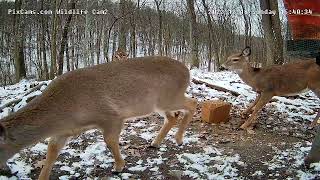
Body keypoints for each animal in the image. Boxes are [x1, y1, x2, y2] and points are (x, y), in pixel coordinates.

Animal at [0, 56, 198, 180]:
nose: (5, 170)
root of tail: (187, 70)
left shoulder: (111, 115)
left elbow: (109, 141)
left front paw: (119, 167)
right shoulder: (64, 131)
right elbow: (51, 152)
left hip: (169, 97)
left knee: (193, 102)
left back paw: (179, 139)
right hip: (159, 104)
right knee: (172, 116)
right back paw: (155, 143)